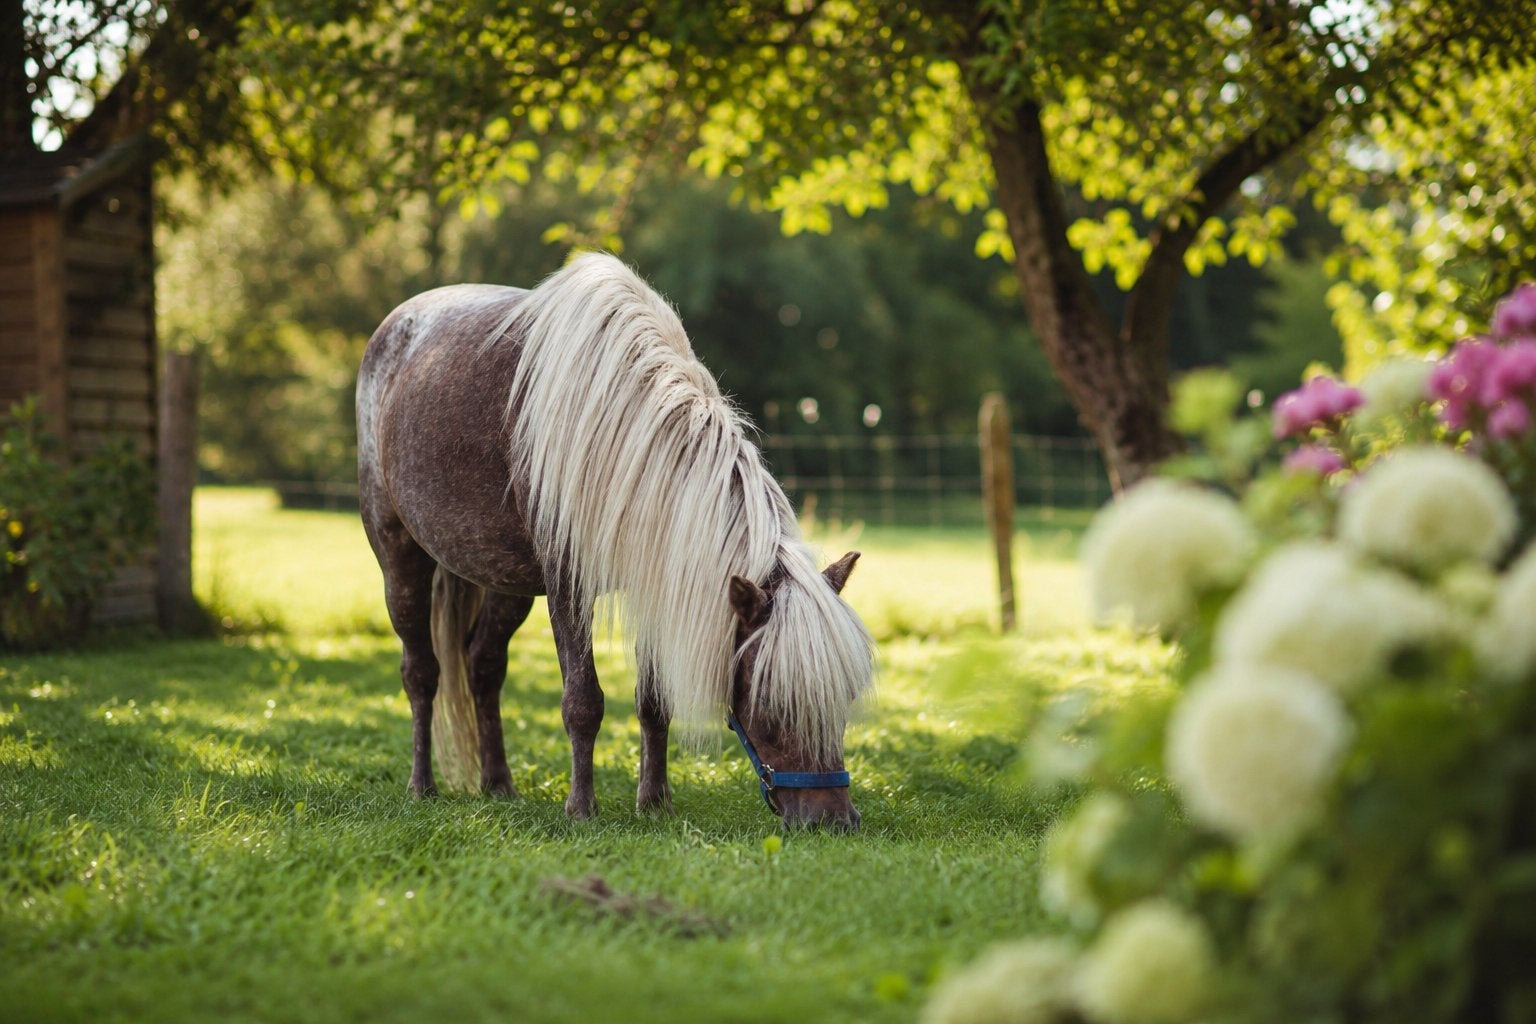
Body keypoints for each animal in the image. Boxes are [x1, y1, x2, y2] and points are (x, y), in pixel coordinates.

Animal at [356, 252, 876, 830]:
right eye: (769, 705)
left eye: (844, 695)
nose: (834, 820)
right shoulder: (567, 585)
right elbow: (583, 703)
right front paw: (582, 808)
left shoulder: (653, 576)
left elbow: (654, 704)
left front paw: (655, 803)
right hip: (400, 558)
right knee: (421, 672)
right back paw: (421, 786)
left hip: (506, 584)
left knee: (483, 668)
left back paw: (500, 786)